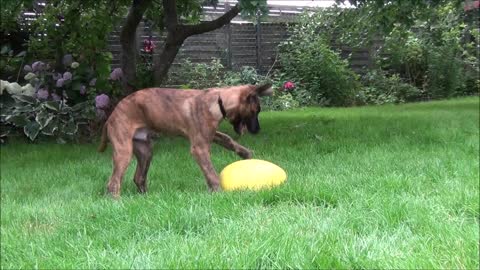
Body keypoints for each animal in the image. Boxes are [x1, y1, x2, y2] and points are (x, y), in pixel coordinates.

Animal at [97, 83, 272, 197]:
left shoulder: (210, 134)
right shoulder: (199, 147)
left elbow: (228, 139)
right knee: (113, 183)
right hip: (124, 152)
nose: (258, 130)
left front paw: (245, 153)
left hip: (145, 151)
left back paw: (145, 198)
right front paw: (219, 193)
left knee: (138, 177)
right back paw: (117, 202)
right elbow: (211, 173)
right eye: (256, 111)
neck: (218, 100)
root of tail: (110, 118)